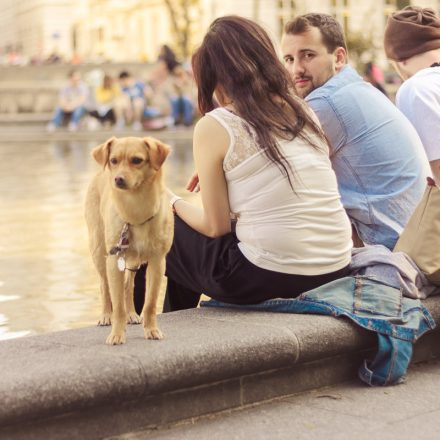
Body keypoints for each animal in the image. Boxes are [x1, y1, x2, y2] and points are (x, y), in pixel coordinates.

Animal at [84, 136, 174, 346]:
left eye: (137, 160)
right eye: (113, 161)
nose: (118, 179)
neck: (135, 209)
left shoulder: (158, 262)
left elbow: (150, 303)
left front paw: (151, 329)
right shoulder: (113, 261)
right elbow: (118, 306)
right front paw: (117, 333)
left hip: (133, 261)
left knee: (128, 286)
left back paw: (132, 313)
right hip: (99, 251)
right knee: (104, 285)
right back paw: (106, 315)